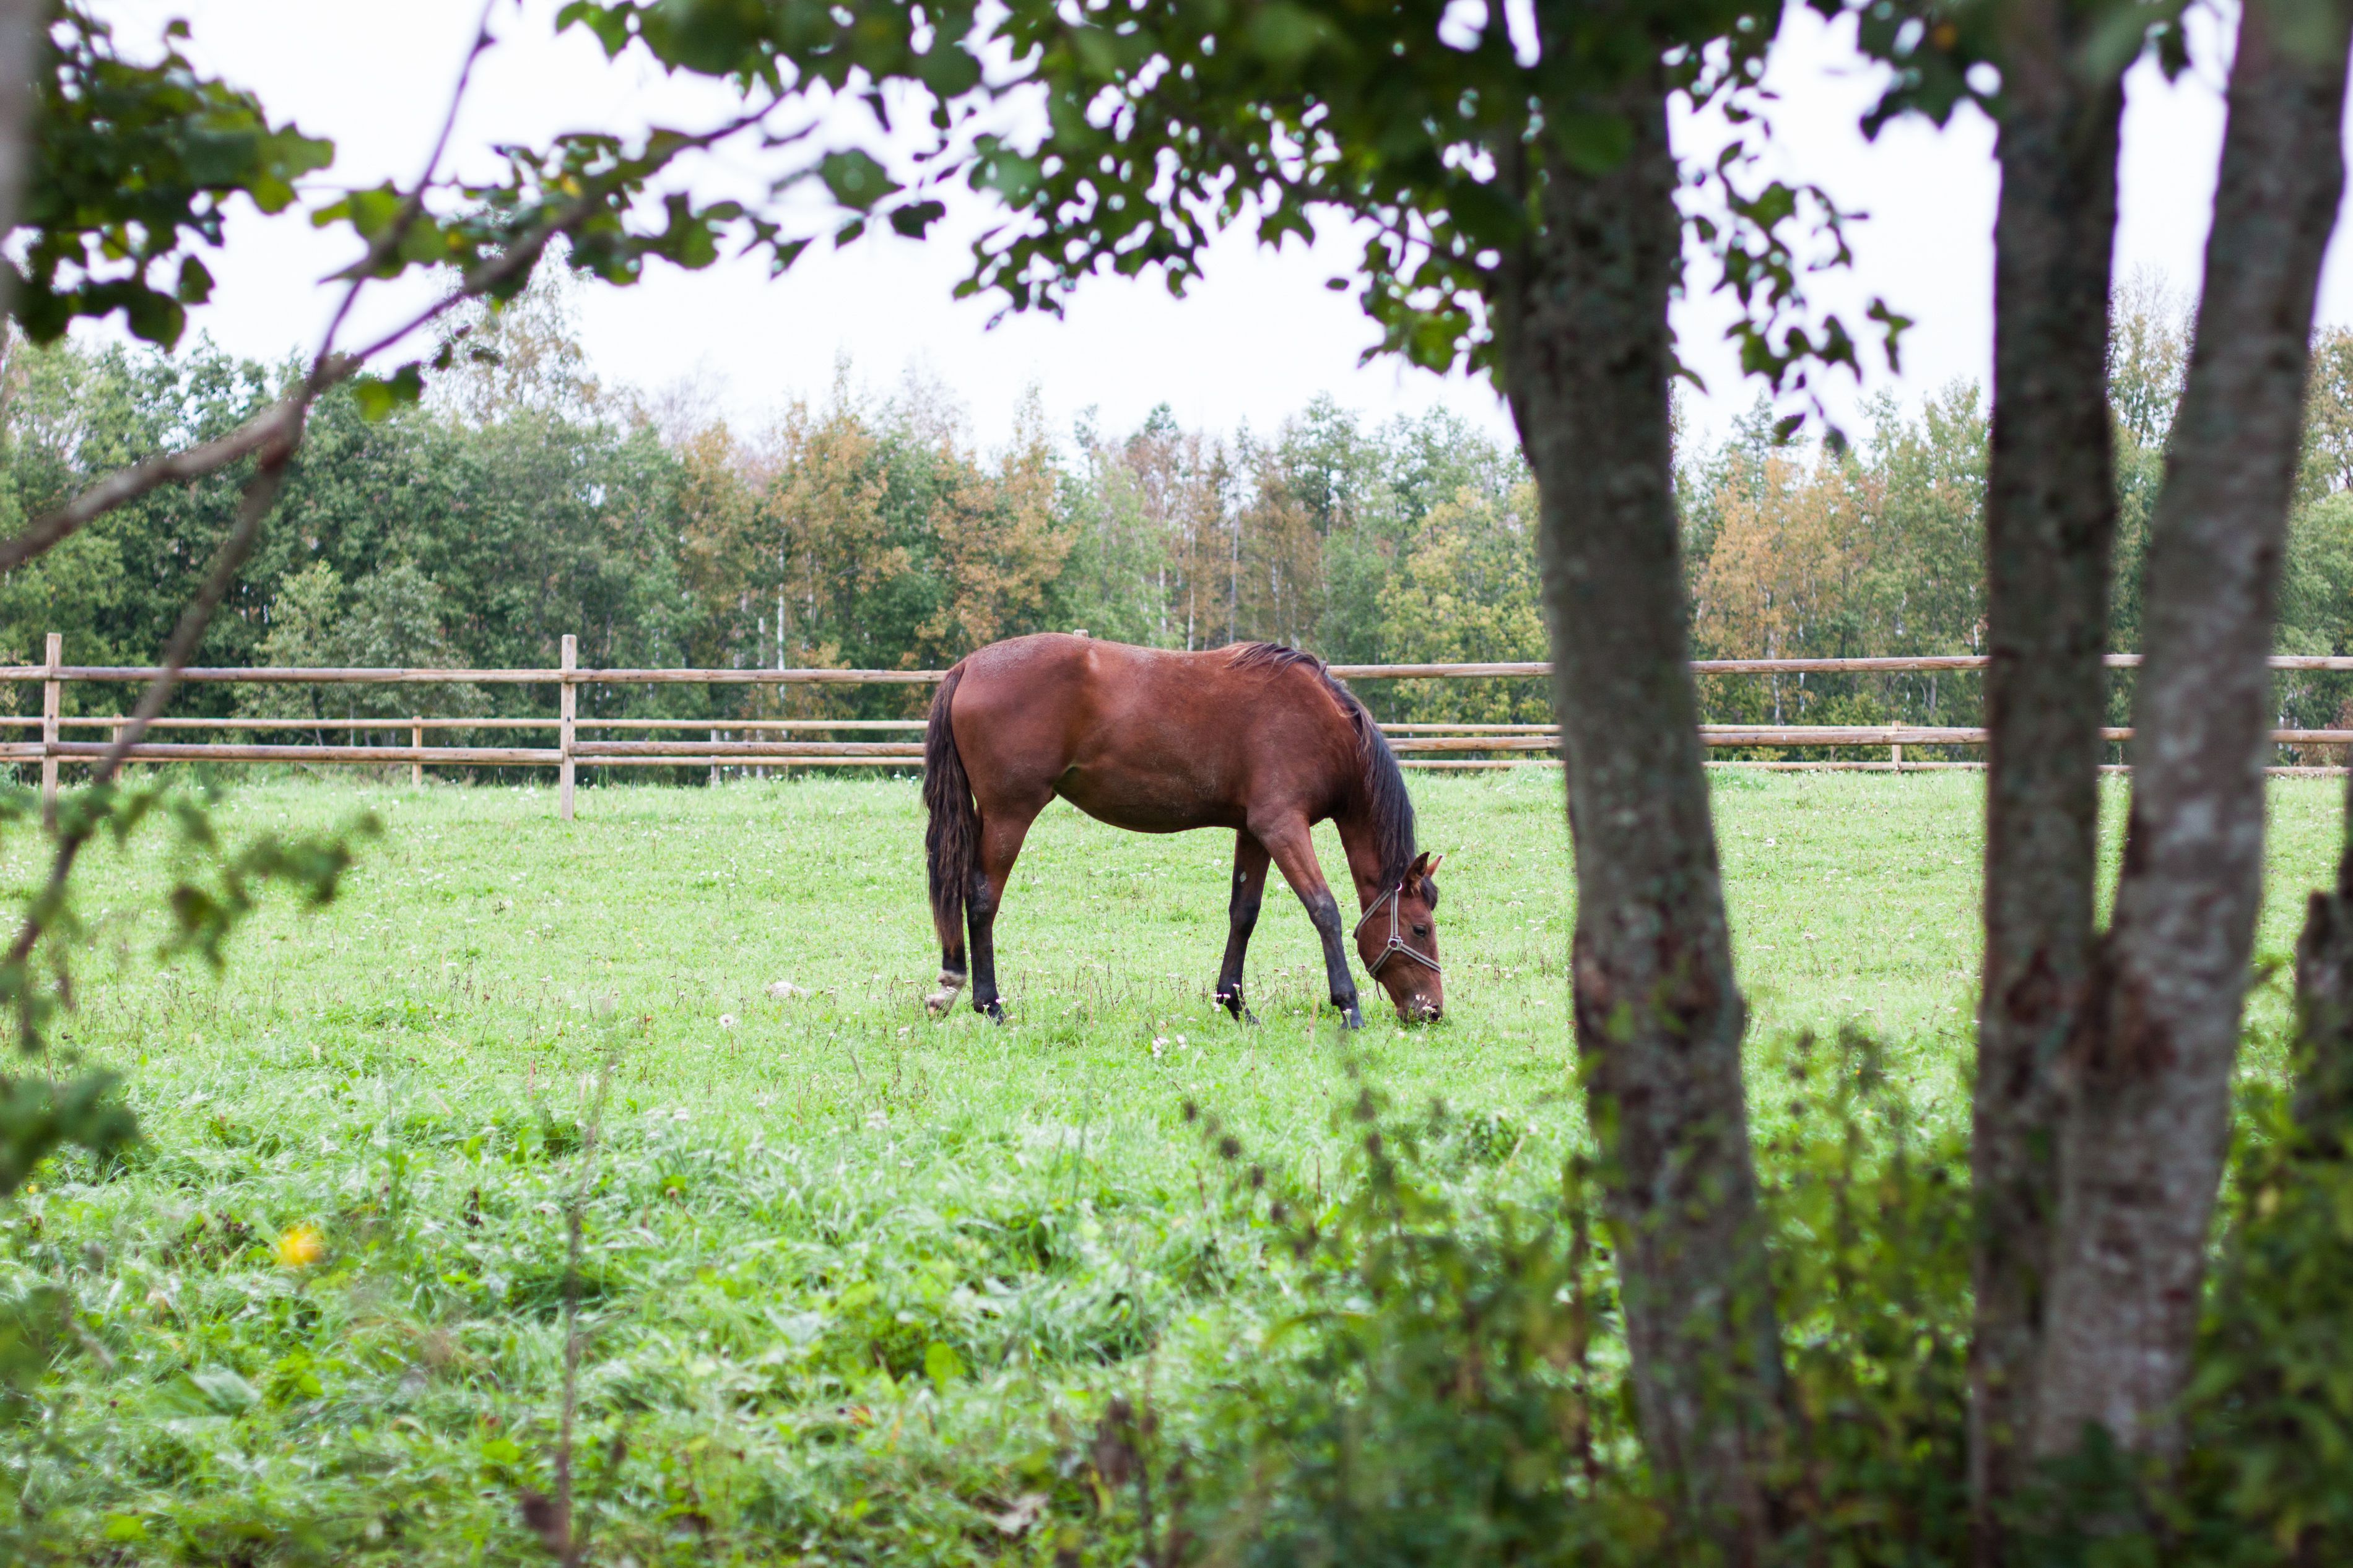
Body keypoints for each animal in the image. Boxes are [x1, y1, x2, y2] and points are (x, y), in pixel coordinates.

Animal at [913, 639, 1430, 1029]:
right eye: (1421, 929)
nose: (1432, 1011)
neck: (1322, 724)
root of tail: (969, 665)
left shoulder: (1255, 832)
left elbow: (1244, 914)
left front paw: (1235, 1004)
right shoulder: (1283, 826)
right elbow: (1324, 909)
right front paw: (1349, 1007)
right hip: (1009, 814)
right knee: (982, 897)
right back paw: (989, 1004)